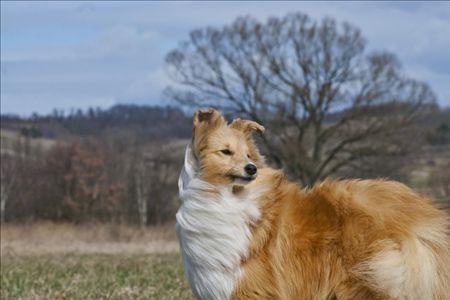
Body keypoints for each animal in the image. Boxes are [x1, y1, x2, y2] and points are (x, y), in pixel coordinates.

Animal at [177, 108, 450, 300]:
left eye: (247, 155)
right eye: (225, 151)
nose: (251, 168)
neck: (226, 196)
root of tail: (422, 215)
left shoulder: (252, 288)